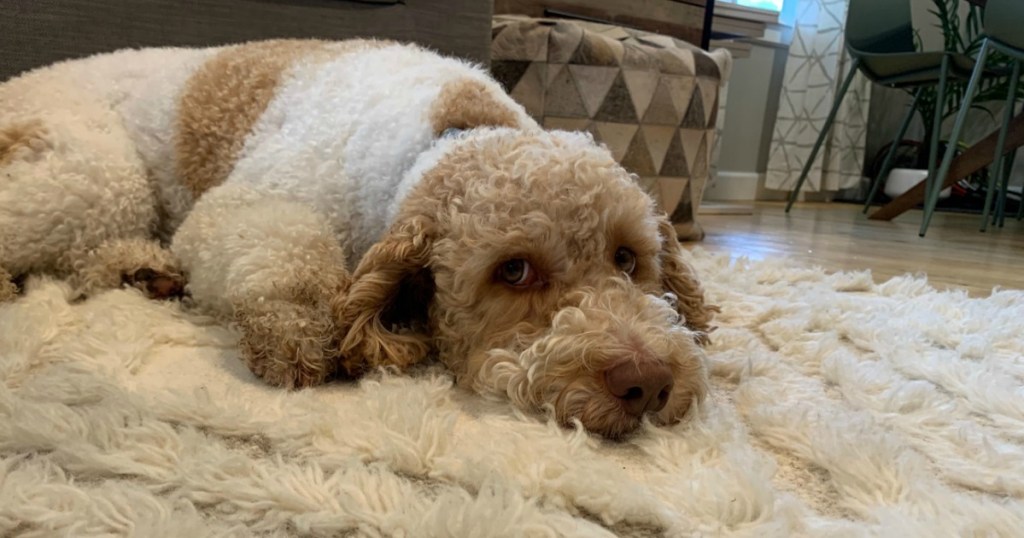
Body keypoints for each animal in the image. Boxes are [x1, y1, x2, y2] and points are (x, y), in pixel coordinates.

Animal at [0, 39, 716, 438]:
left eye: (628, 257)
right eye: (513, 271)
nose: (648, 383)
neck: (445, 136)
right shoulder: (245, 202)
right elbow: (286, 258)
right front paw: (295, 329)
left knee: (93, 255)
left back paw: (145, 271)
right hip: (96, 177)